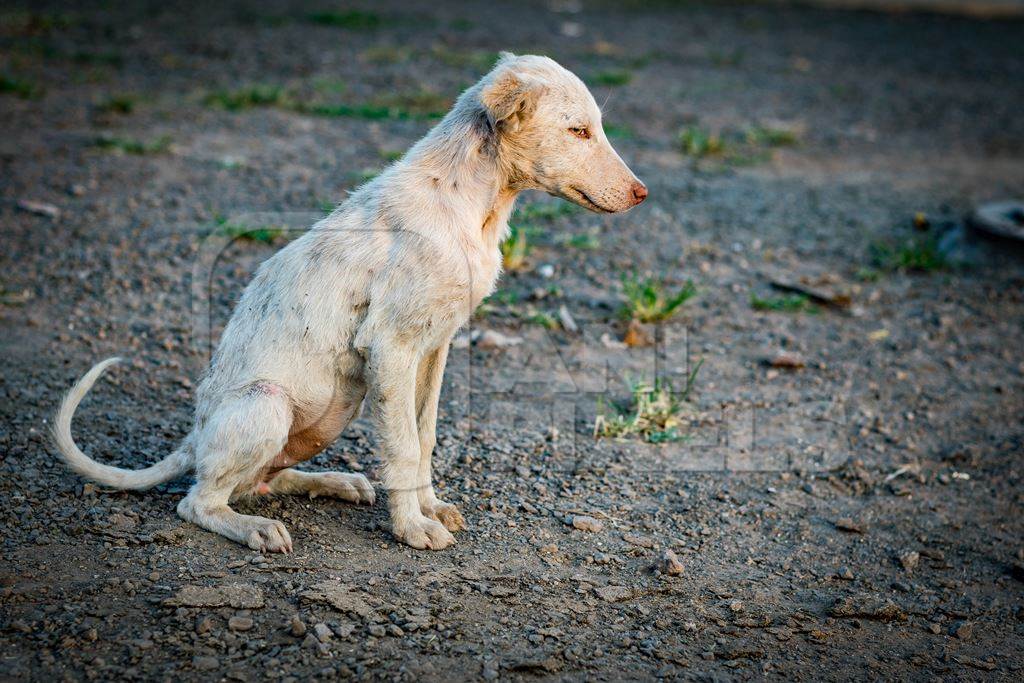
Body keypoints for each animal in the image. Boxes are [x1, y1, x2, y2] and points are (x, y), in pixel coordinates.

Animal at [54, 54, 647, 557]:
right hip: (267, 402)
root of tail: (195, 436)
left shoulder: (435, 348)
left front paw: (429, 507)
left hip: (328, 417)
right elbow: (403, 446)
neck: (472, 203)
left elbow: (424, 434)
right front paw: (411, 528)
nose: (642, 194)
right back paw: (257, 530)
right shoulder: (391, 347)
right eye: (578, 131)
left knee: (259, 481)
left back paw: (333, 482)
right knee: (198, 501)